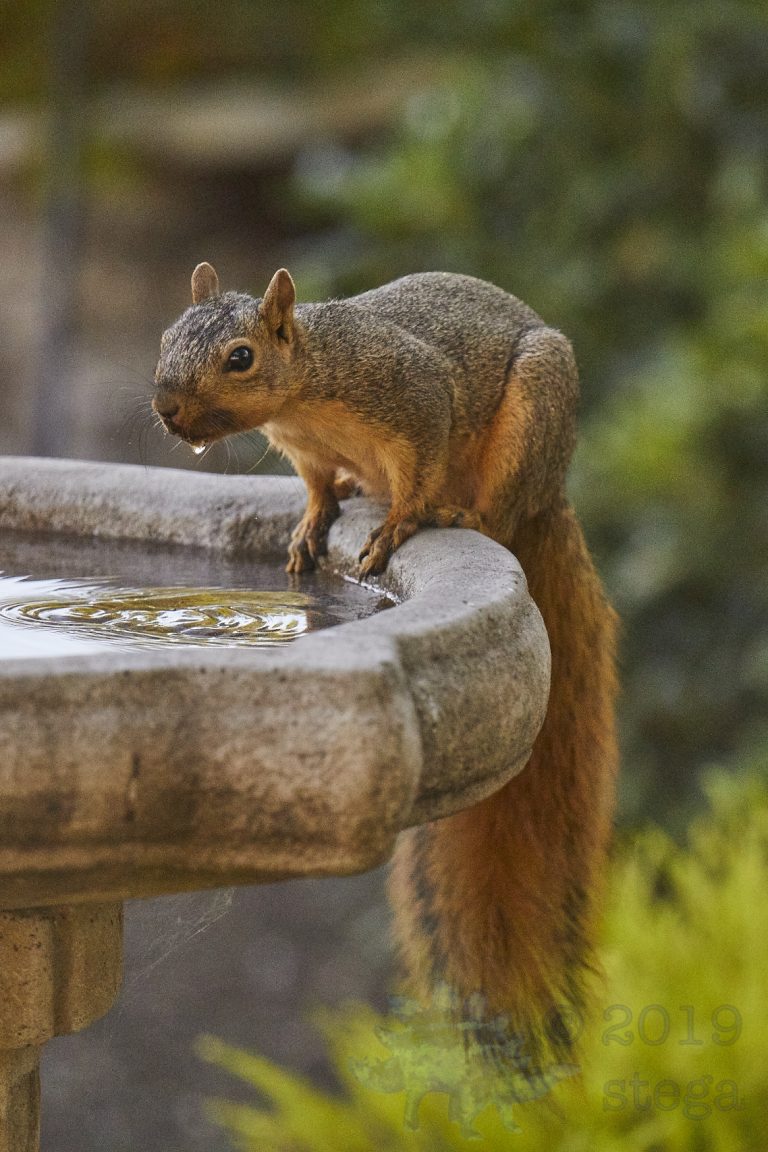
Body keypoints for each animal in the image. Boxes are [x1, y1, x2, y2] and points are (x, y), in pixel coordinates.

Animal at [153, 263, 618, 1070]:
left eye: (240, 358)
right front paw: (312, 520)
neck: (309, 387)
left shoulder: (414, 396)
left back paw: (462, 515)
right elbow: (314, 485)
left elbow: (418, 469)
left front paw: (399, 524)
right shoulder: (305, 451)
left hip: (533, 413)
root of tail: (552, 492)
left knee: (495, 507)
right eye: (164, 339)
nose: (167, 410)